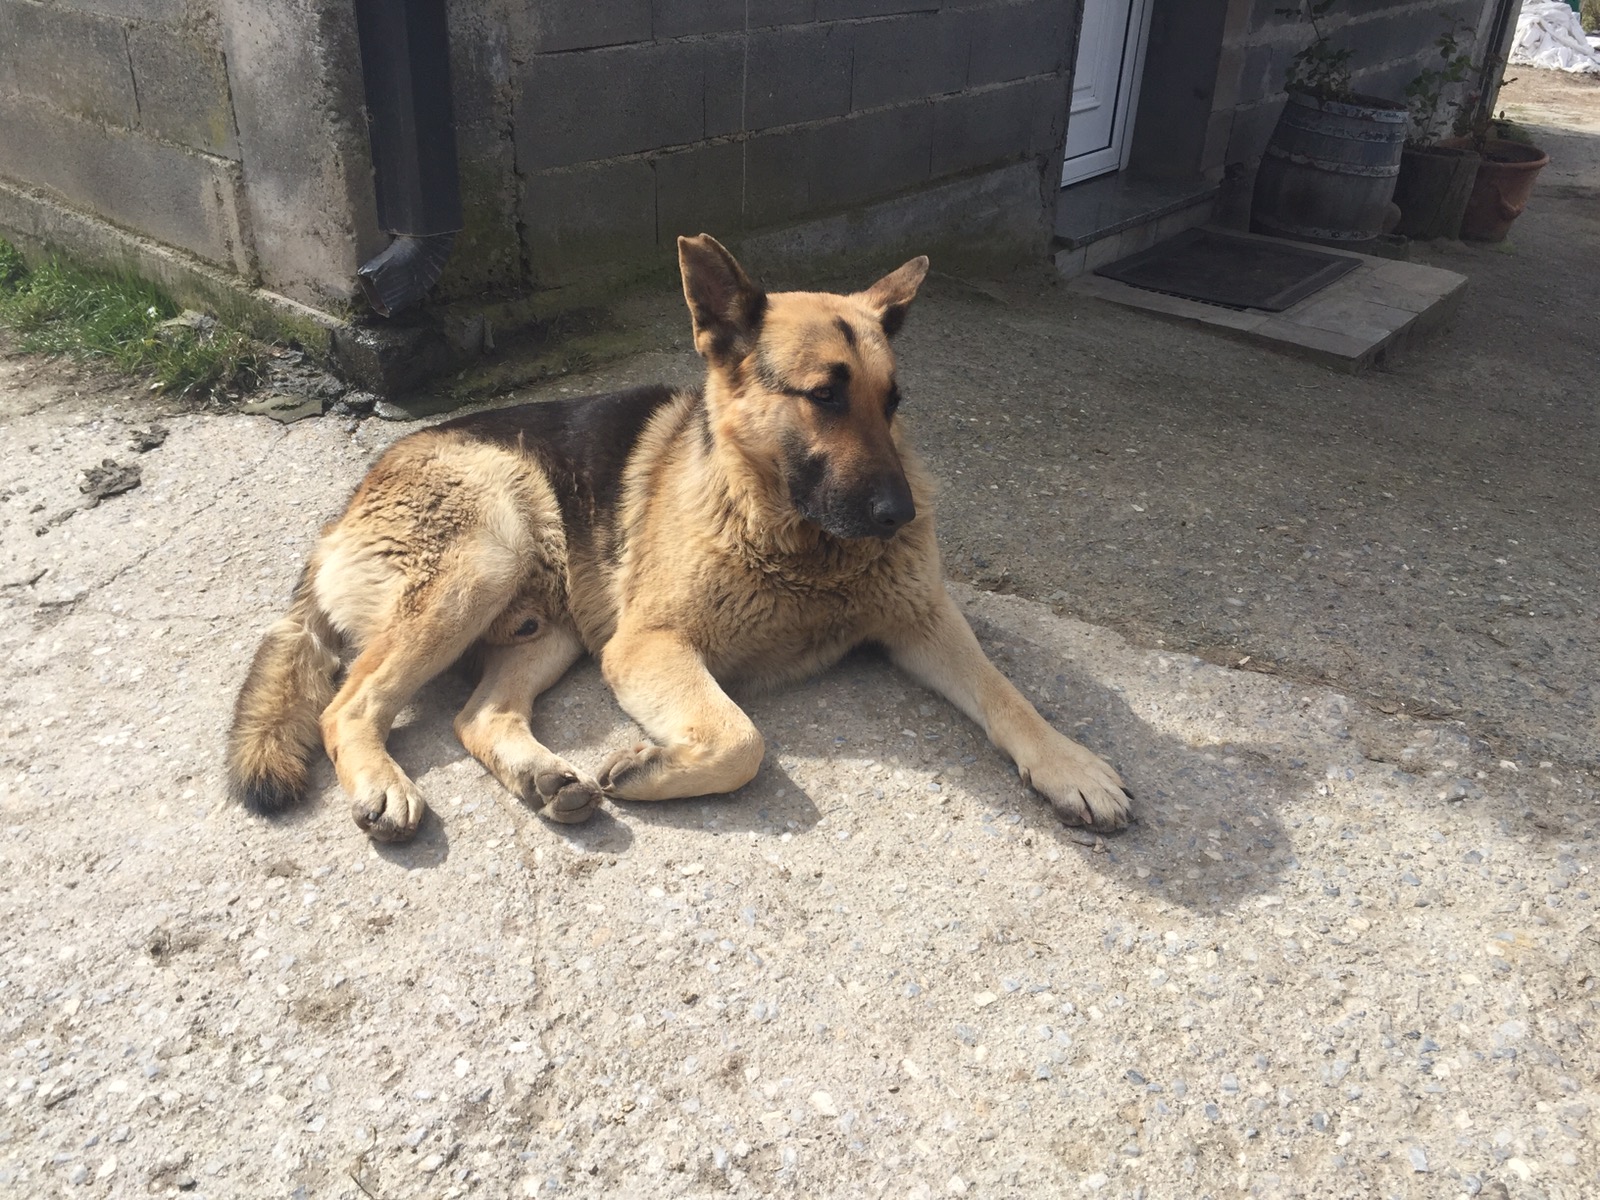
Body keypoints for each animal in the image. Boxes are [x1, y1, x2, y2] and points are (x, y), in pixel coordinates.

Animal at [226, 235, 1131, 841]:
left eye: (893, 401)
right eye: (825, 397)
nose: (901, 516)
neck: (793, 542)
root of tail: (341, 514)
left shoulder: (925, 620)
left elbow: (1007, 694)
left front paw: (1070, 763)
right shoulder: (649, 645)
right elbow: (744, 740)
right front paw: (658, 767)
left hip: (548, 628)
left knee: (477, 716)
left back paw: (542, 776)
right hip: (480, 567)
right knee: (350, 703)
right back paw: (382, 783)